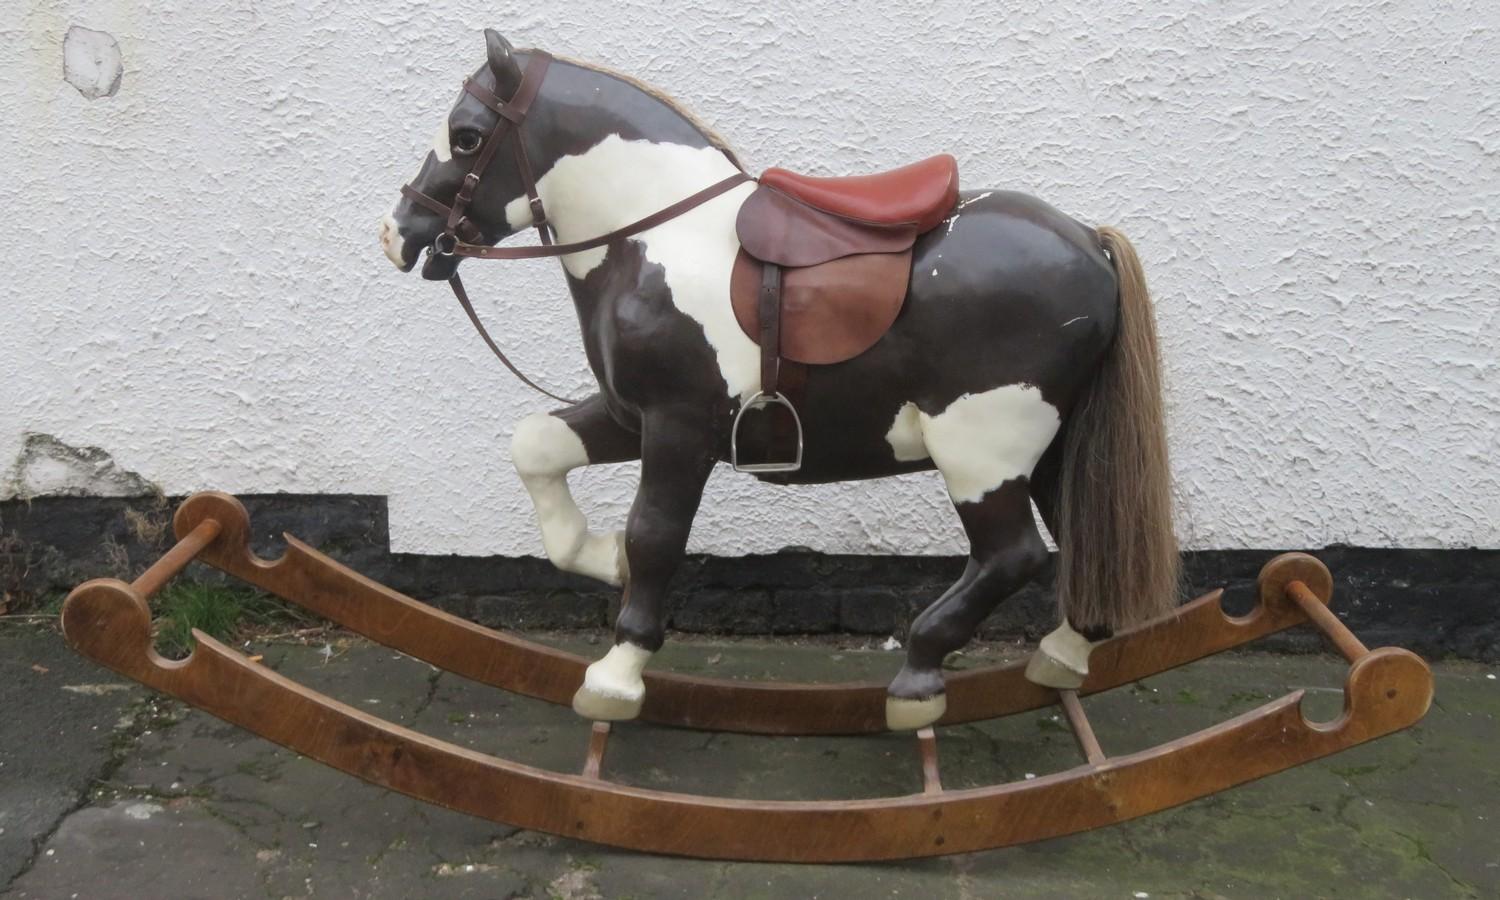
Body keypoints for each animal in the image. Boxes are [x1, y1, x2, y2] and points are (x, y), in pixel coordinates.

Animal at [381, 29, 1176, 732]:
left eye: (465, 136)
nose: (399, 233)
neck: (653, 237)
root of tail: (1089, 242)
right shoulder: (629, 413)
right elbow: (537, 446)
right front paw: (602, 559)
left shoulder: (677, 425)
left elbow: (656, 533)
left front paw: (618, 671)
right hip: (1051, 444)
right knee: (1086, 540)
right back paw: (1063, 654)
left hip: (982, 448)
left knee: (1013, 557)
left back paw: (919, 677)